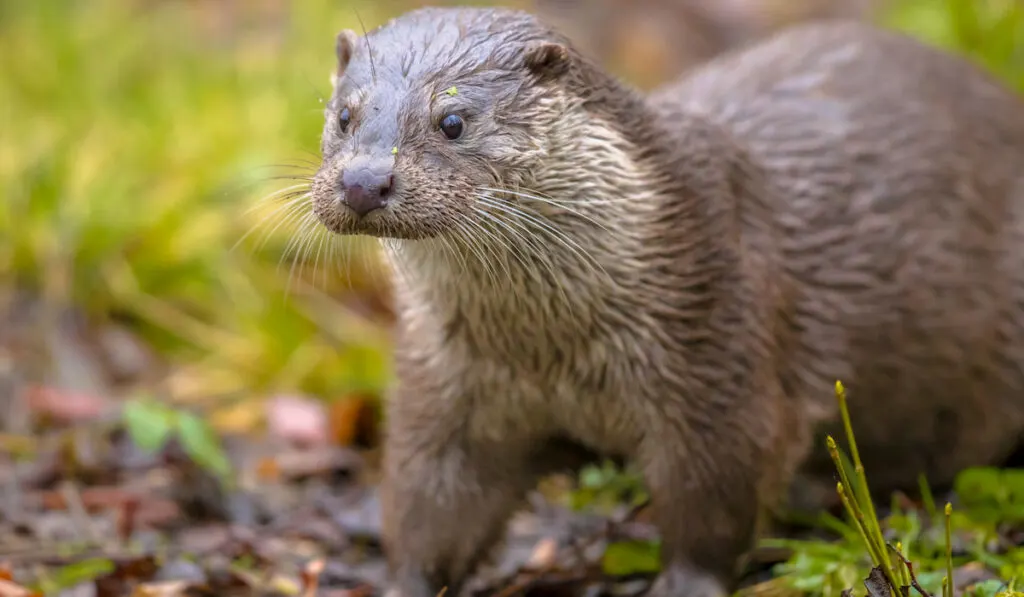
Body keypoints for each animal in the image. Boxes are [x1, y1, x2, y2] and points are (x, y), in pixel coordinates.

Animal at [307, 5, 1024, 597]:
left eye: (453, 122)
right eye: (344, 115)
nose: (365, 180)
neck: (549, 348)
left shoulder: (717, 356)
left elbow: (714, 497)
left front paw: (684, 583)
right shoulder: (447, 384)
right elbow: (430, 498)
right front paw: (403, 582)